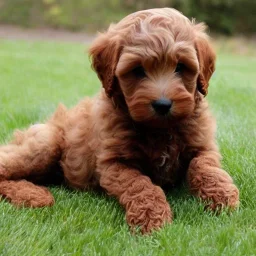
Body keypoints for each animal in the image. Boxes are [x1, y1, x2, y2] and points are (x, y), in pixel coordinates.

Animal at [0, 8, 240, 234]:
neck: (159, 130)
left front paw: (222, 195)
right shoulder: (113, 163)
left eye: (180, 67)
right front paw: (151, 216)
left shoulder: (203, 145)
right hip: (45, 143)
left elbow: (206, 166)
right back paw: (33, 194)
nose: (163, 105)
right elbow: (139, 184)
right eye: (138, 70)